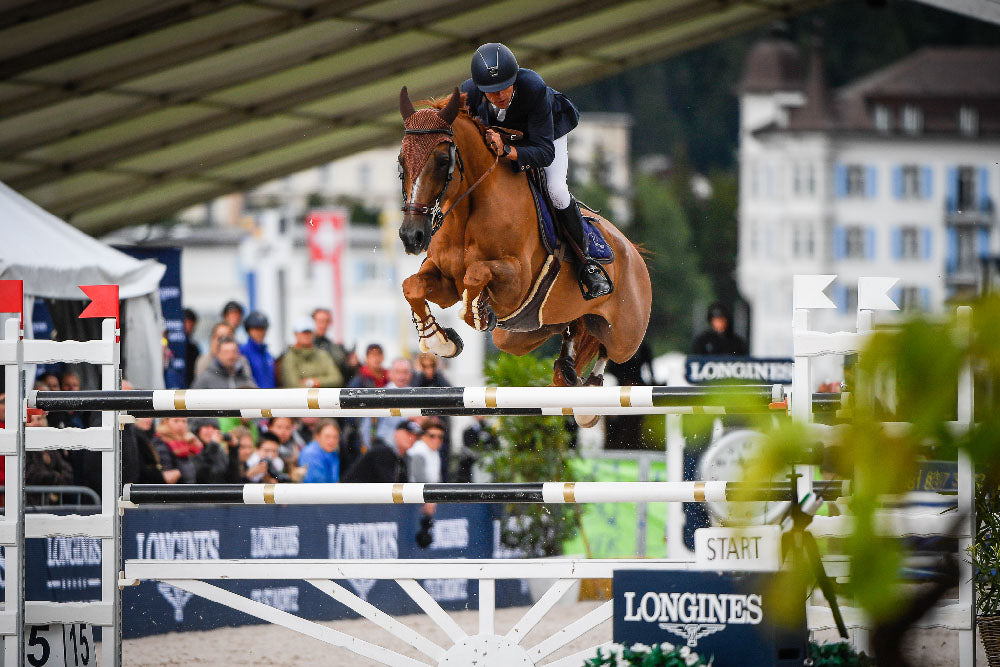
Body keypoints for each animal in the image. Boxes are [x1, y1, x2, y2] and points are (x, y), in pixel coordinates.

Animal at [394, 86, 652, 422]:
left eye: (441, 160)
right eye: (401, 160)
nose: (412, 236)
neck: (468, 210)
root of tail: (633, 251)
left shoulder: (517, 282)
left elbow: (477, 274)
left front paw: (477, 312)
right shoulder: (445, 280)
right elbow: (412, 286)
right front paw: (440, 341)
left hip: (625, 333)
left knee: (608, 349)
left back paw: (589, 399)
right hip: (520, 336)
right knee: (574, 332)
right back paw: (567, 370)